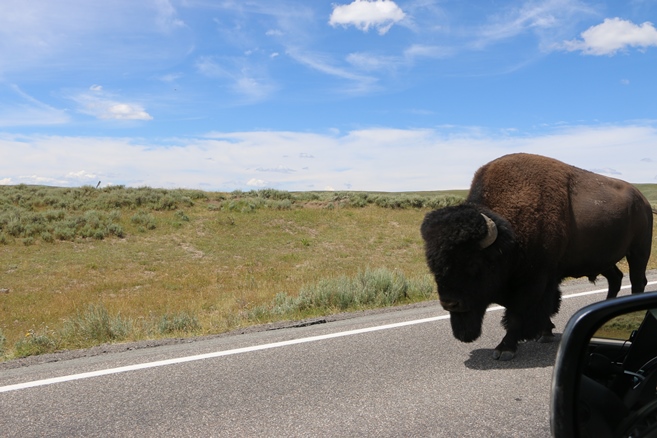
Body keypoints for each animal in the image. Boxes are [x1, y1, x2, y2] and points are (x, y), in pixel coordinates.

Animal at [421, 153, 655, 360]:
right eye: (433, 265)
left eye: (472, 263)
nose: (449, 303)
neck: (507, 238)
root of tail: (643, 201)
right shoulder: (549, 277)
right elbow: (547, 305)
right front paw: (545, 333)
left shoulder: (533, 281)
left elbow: (518, 314)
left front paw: (505, 348)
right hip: (604, 260)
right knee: (616, 278)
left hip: (639, 251)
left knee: (637, 280)